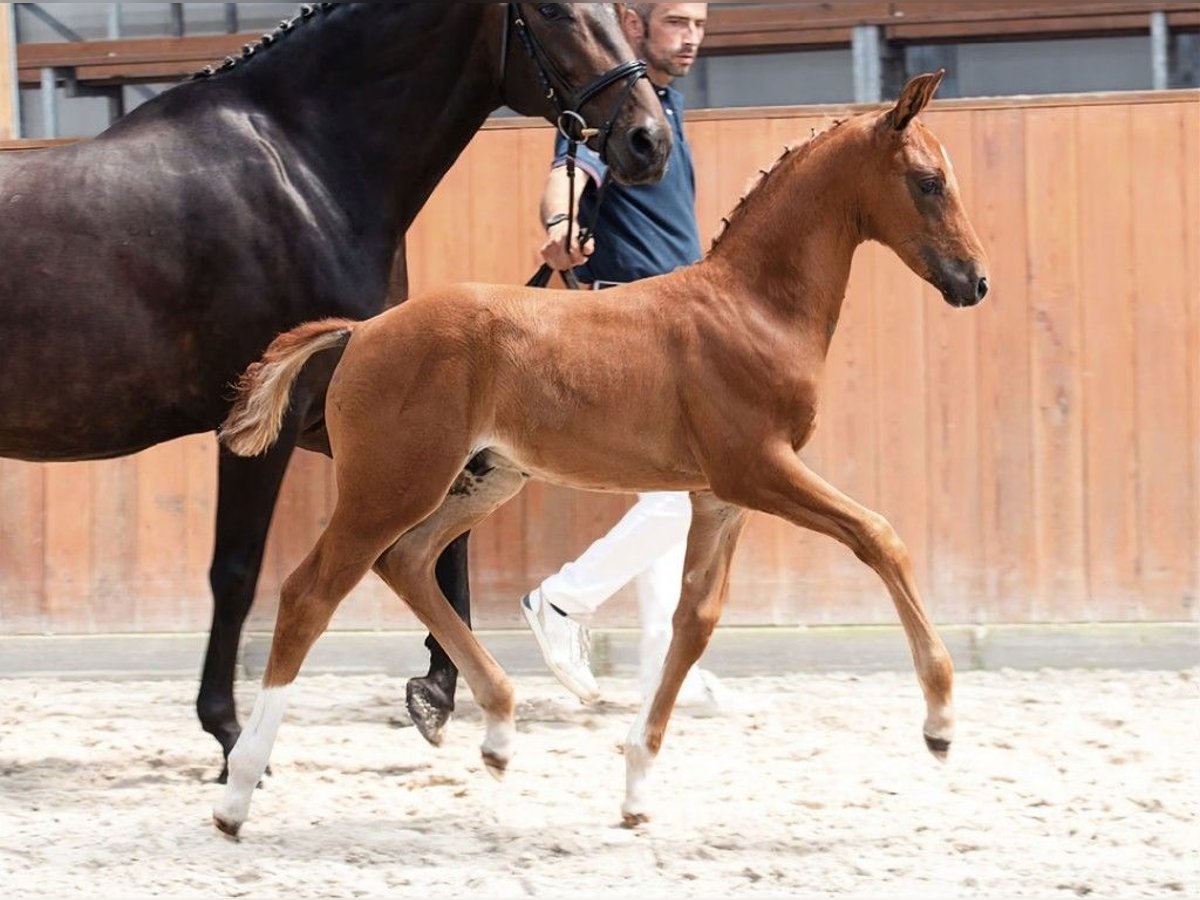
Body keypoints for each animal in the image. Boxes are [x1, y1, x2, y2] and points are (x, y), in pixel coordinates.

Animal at [0, 1, 672, 782]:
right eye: (553, 10)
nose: (648, 139)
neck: (304, 170)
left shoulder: (345, 412)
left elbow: (443, 543)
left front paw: (434, 693)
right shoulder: (264, 422)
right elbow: (237, 573)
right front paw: (229, 734)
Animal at [213, 72, 984, 840]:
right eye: (928, 182)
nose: (974, 281)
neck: (753, 309)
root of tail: (363, 331)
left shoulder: (718, 496)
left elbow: (693, 620)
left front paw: (637, 787)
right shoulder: (757, 469)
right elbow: (879, 536)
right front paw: (941, 721)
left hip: (483, 480)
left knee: (405, 562)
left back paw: (499, 731)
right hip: (391, 486)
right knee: (311, 593)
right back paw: (237, 791)